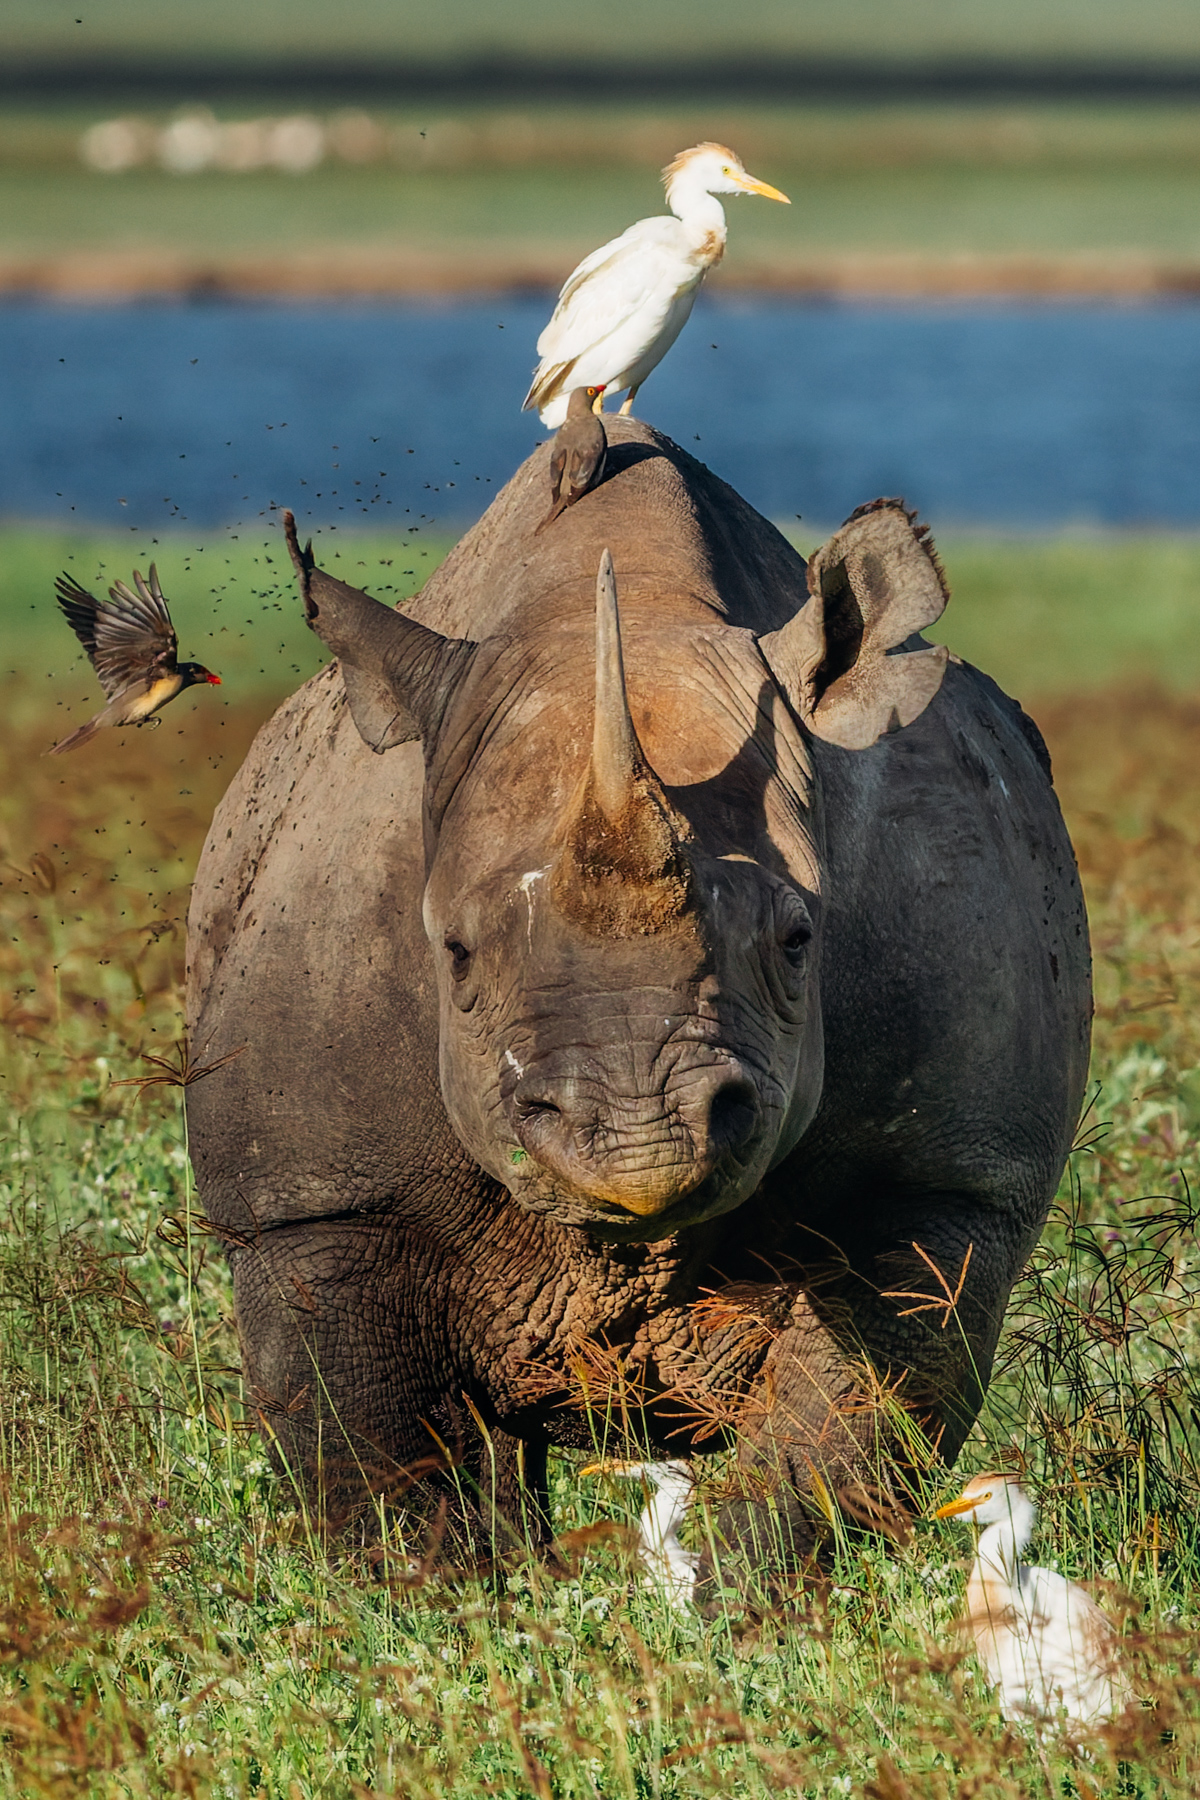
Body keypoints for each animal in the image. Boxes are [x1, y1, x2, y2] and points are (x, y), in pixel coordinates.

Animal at [186, 420, 1089, 1575]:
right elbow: (378, 1462)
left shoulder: (946, 1178)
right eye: (455, 954)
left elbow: (838, 1437)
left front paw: (743, 1595)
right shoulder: (315, 1198)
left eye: (800, 942)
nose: (641, 1141)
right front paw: (445, 1598)